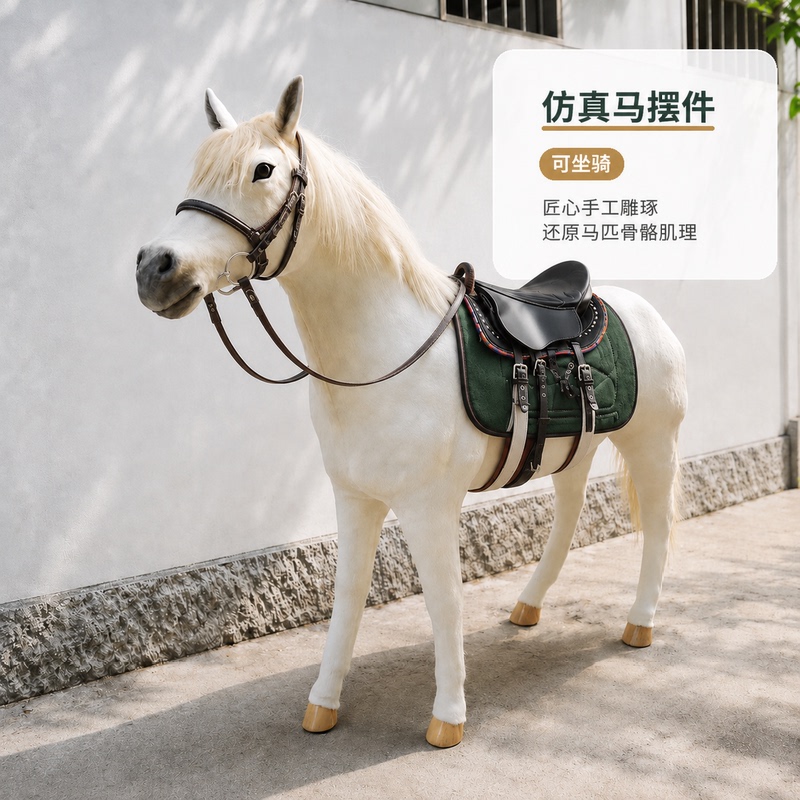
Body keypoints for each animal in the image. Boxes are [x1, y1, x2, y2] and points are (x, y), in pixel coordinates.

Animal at [136, 77, 687, 748]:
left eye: (262, 170)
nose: (154, 267)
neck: (387, 349)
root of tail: (644, 312)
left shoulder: (430, 506)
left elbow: (443, 599)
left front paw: (447, 717)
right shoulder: (355, 497)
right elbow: (347, 597)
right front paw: (323, 704)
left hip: (652, 445)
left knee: (658, 527)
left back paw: (639, 624)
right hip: (575, 450)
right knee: (570, 514)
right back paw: (527, 607)